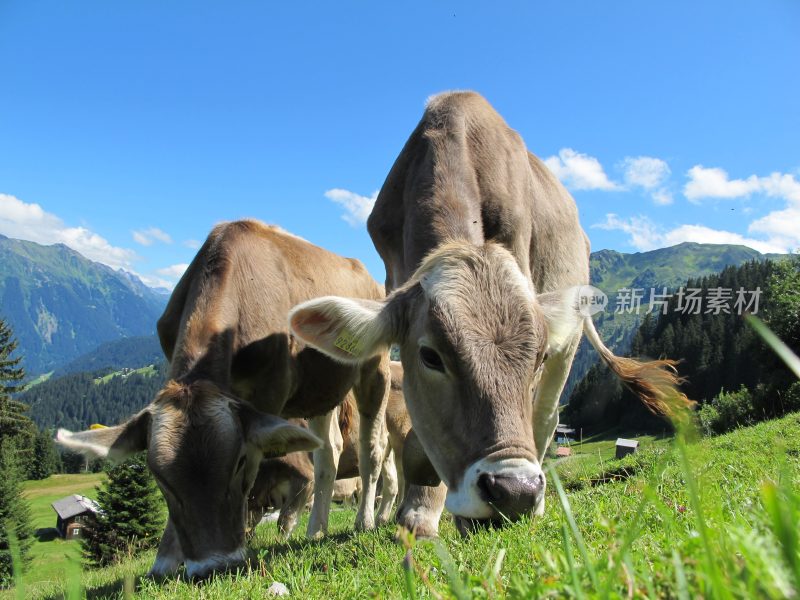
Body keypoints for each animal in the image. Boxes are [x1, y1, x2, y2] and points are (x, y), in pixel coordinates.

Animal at [56, 220, 390, 576]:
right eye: (158, 476)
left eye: (239, 462)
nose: (212, 566)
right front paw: (166, 559)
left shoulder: (268, 394)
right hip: (320, 389)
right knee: (329, 451)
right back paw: (316, 530)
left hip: (375, 368)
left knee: (372, 447)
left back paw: (364, 520)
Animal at [290, 91, 692, 536]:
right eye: (430, 356)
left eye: (537, 356)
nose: (515, 492)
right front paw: (419, 512)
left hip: (568, 343)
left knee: (546, 417)